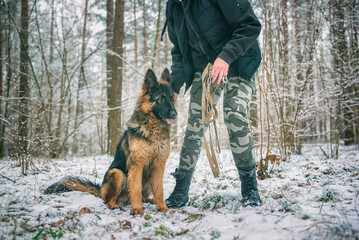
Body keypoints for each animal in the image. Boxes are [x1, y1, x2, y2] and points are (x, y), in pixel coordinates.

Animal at [45, 68, 177, 215]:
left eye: (172, 99)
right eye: (161, 99)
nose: (175, 114)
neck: (152, 129)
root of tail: (100, 189)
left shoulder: (158, 165)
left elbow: (159, 190)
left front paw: (163, 207)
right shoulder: (137, 165)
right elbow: (136, 189)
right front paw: (137, 209)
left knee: (144, 195)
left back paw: (149, 200)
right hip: (117, 173)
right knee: (108, 200)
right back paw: (116, 205)